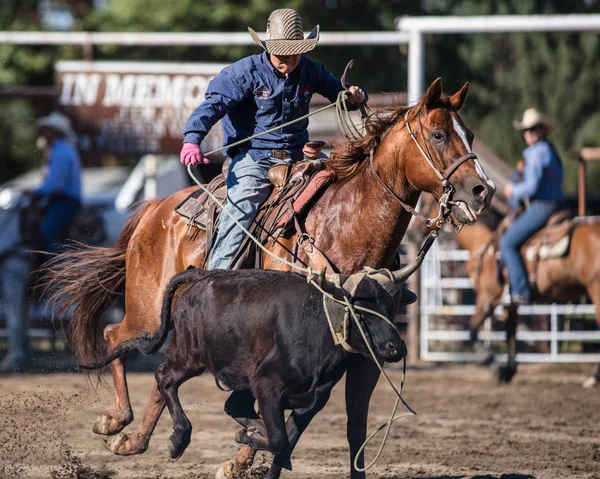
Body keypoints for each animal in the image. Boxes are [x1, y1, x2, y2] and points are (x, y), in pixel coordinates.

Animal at [43, 77, 492, 478]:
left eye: (469, 134)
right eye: (438, 134)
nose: (480, 190)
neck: (346, 224)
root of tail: (157, 208)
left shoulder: (365, 354)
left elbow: (352, 428)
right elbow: (272, 413)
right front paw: (240, 459)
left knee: (159, 369)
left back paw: (135, 440)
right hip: (147, 309)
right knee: (115, 337)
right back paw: (116, 421)